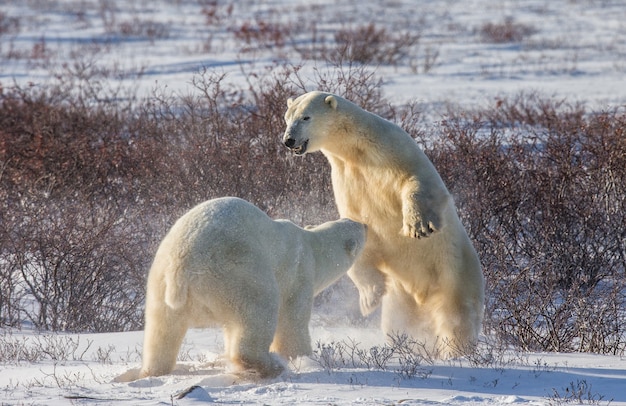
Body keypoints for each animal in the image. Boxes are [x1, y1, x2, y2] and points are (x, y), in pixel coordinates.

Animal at [134, 198, 364, 380]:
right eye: (355, 225)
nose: (365, 224)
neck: (312, 247)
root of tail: (181, 266)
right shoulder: (299, 273)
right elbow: (293, 319)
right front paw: (304, 357)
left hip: (160, 282)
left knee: (161, 330)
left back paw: (151, 370)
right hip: (237, 272)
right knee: (260, 311)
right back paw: (271, 366)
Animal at [282, 91, 482, 356]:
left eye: (306, 117)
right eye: (287, 118)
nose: (288, 140)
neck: (357, 150)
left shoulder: (394, 148)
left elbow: (417, 181)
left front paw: (417, 226)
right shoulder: (346, 177)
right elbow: (358, 224)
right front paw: (370, 297)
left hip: (455, 274)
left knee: (456, 318)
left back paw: (455, 352)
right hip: (400, 295)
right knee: (399, 324)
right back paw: (406, 347)